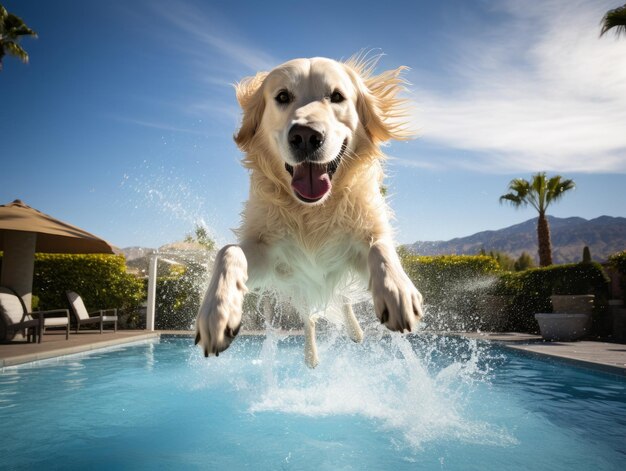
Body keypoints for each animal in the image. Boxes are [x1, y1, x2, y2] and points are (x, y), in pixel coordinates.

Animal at [193, 56, 422, 368]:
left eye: (336, 96)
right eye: (282, 97)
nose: (304, 136)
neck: (312, 210)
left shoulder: (357, 246)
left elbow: (380, 248)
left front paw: (397, 291)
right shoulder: (270, 256)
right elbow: (229, 251)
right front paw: (217, 311)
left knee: (344, 301)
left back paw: (356, 332)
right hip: (298, 285)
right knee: (308, 319)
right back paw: (311, 356)